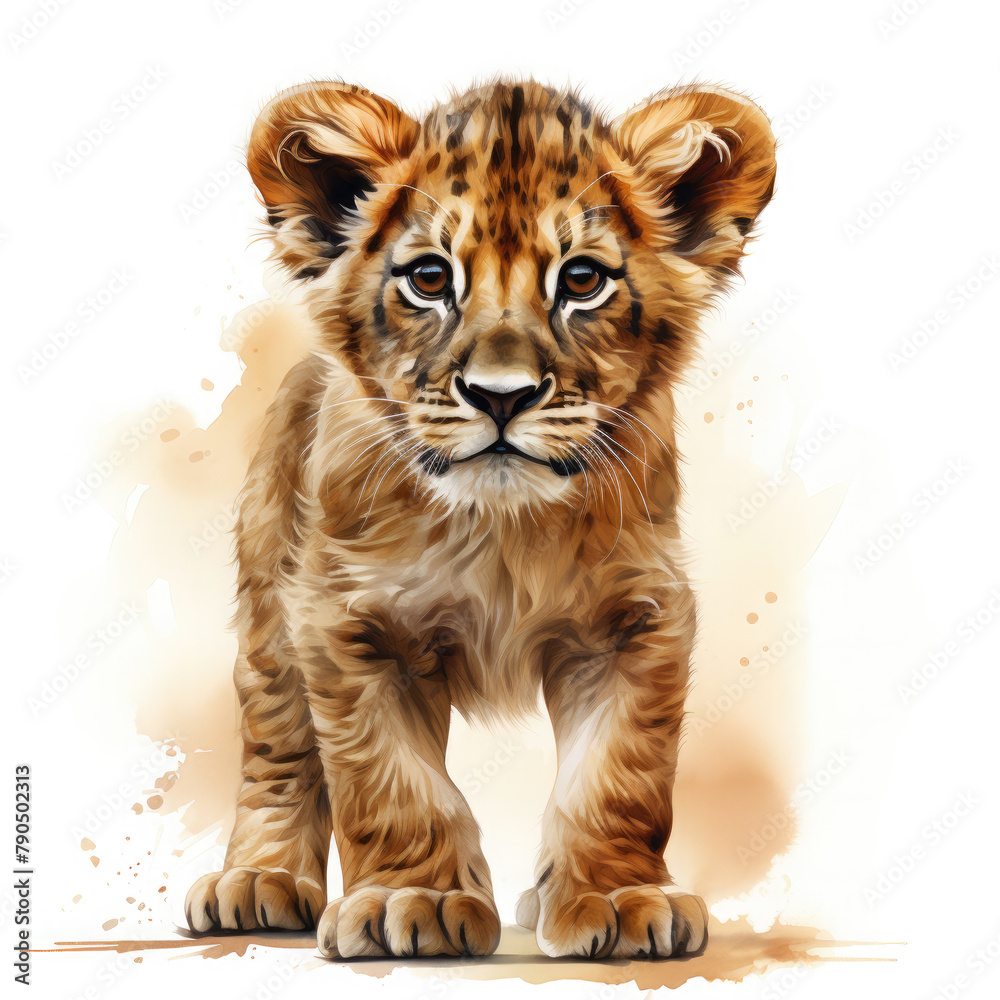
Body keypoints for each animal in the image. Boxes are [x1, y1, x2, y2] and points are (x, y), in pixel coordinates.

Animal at [184, 78, 776, 960]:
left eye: (583, 280)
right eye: (430, 278)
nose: (502, 397)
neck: (503, 530)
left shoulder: (638, 618)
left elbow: (618, 777)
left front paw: (618, 897)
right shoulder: (345, 621)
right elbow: (391, 783)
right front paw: (412, 899)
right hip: (268, 606)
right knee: (276, 747)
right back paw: (257, 881)